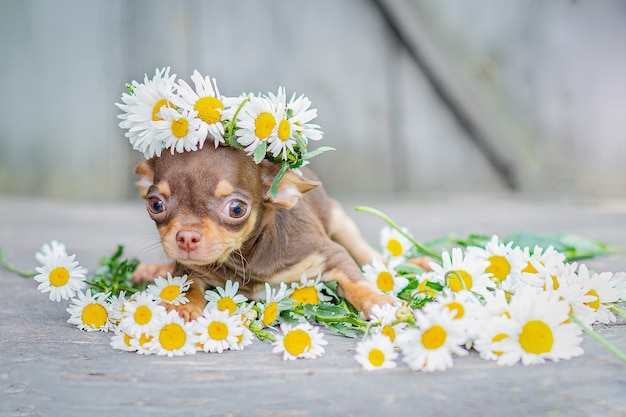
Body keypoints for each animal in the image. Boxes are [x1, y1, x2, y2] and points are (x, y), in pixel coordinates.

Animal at [132, 145, 394, 320]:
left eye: (236, 209)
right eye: (156, 205)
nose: (186, 237)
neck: (245, 258)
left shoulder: (329, 254)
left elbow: (355, 280)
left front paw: (379, 301)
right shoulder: (189, 268)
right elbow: (186, 285)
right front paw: (182, 307)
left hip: (340, 221)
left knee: (365, 251)